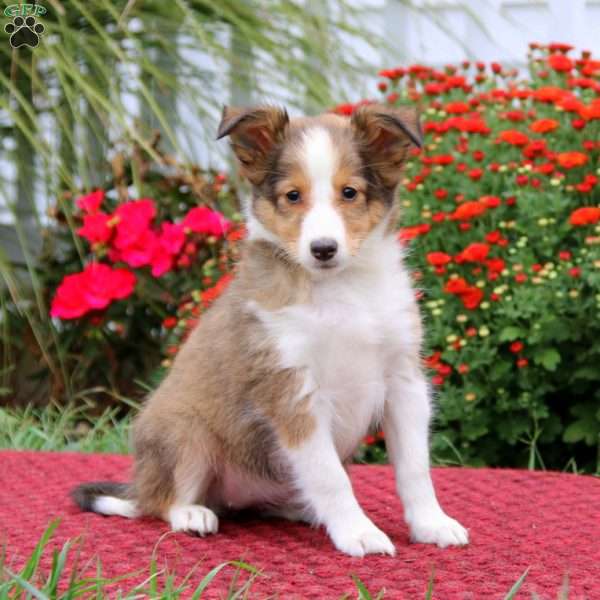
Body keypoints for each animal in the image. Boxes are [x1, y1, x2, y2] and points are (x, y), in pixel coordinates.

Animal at [72, 104, 468, 556]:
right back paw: (191, 514)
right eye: (292, 196)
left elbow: (415, 468)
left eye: (349, 192)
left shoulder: (403, 380)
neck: (341, 287)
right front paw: (359, 532)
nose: (323, 249)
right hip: (184, 431)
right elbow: (331, 477)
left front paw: (432, 524)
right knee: (160, 502)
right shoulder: (292, 393)